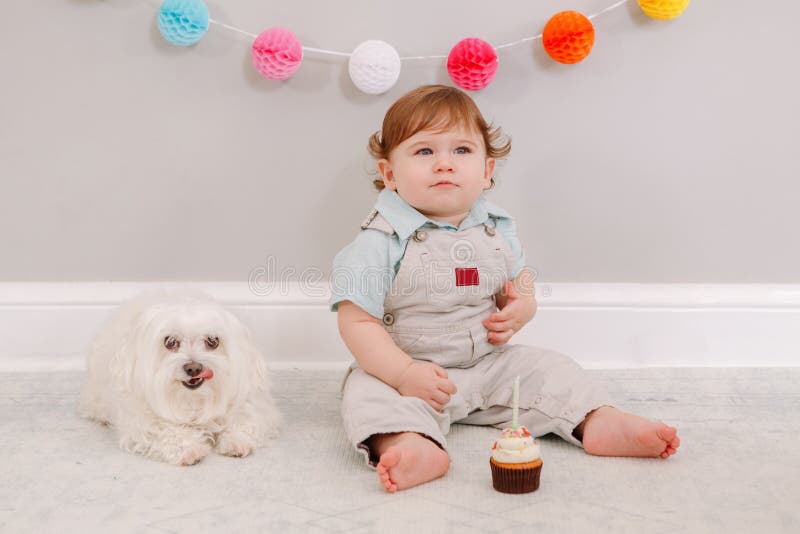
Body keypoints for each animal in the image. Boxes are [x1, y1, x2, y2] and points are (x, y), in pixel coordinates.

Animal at [78, 292, 278, 466]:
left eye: (213, 341)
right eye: (170, 342)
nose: (194, 368)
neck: (193, 400)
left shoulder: (251, 400)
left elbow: (245, 415)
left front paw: (236, 439)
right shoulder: (140, 417)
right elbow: (163, 427)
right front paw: (189, 448)